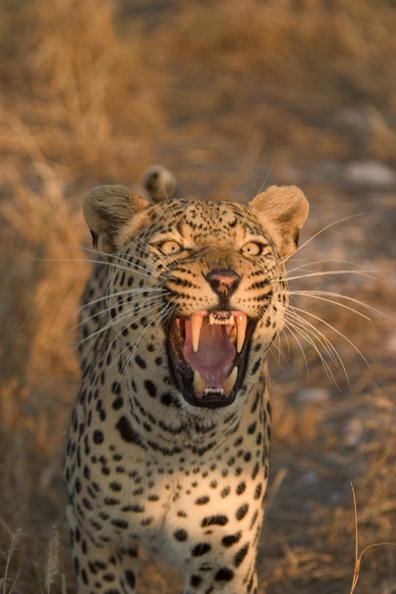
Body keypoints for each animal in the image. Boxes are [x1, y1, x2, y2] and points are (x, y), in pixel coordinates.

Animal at [64, 163, 310, 592]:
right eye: (171, 248)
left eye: (252, 250)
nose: (225, 280)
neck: (178, 441)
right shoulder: (98, 541)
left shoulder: (225, 560)